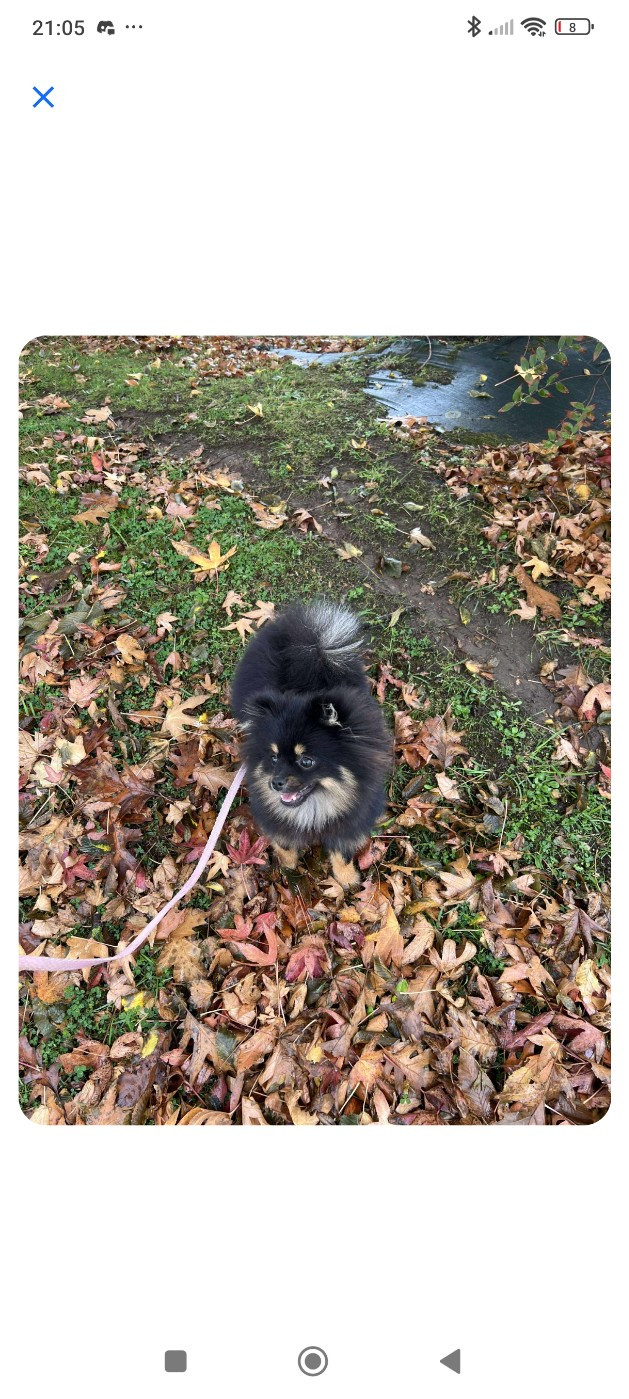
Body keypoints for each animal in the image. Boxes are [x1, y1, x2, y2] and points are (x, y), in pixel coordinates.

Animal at [231, 600, 393, 886]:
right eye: (273, 757)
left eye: (306, 761)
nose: (275, 782)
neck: (315, 810)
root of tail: (311, 644)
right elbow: (285, 844)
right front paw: (288, 868)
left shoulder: (349, 822)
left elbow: (342, 853)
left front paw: (347, 879)